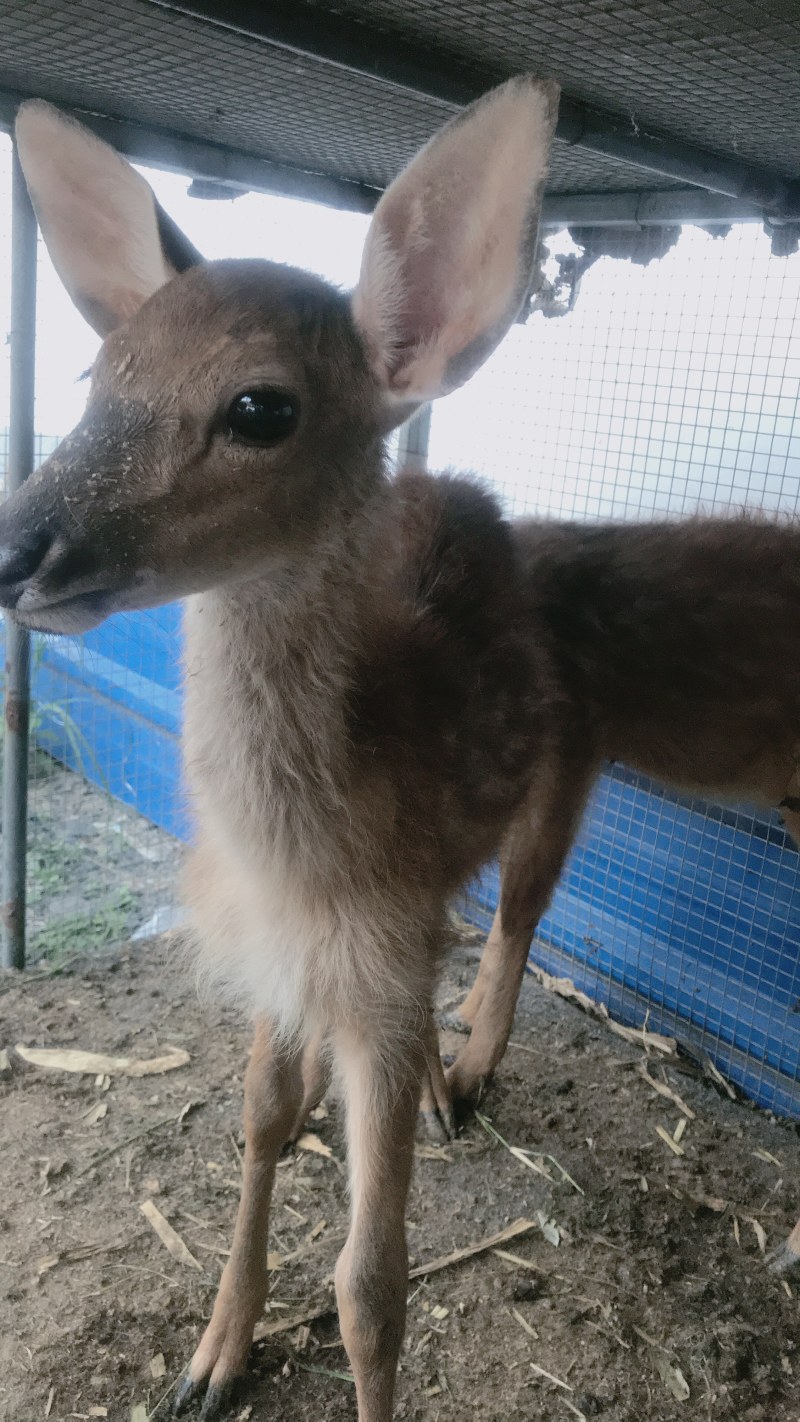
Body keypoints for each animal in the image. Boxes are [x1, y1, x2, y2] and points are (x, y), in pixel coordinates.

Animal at [5, 77, 566, 1420]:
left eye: (261, 407)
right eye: (100, 372)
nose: (13, 549)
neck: (313, 856)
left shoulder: (378, 950)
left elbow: (373, 1286)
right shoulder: (275, 941)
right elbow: (259, 1115)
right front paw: (211, 1356)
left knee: (519, 912)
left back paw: (461, 1076)